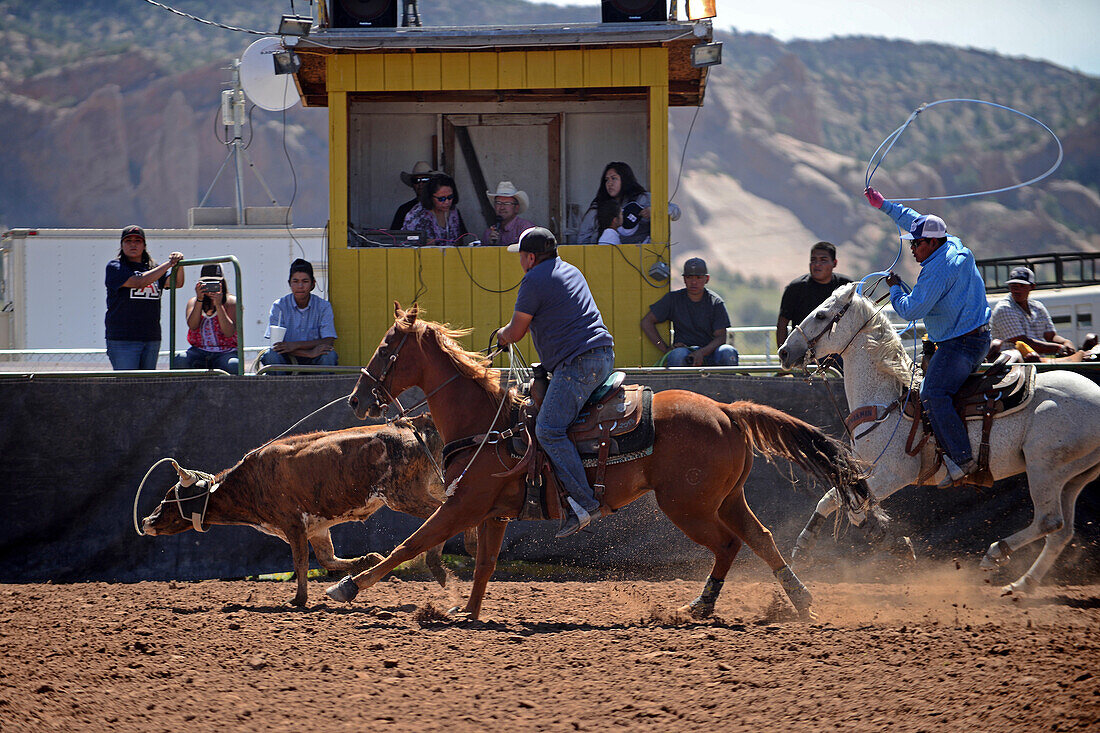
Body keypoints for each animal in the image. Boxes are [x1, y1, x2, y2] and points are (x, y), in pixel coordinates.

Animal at [325, 301, 866, 616]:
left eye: (386, 348)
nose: (356, 399)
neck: (487, 420)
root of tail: (728, 411)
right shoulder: (493, 513)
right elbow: (484, 564)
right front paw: (470, 614)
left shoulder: (463, 506)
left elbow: (408, 546)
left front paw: (347, 588)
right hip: (727, 498)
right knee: (761, 537)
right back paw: (796, 599)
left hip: (687, 506)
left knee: (729, 545)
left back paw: (702, 605)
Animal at [778, 280, 1100, 594]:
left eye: (821, 315)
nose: (783, 352)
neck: (888, 399)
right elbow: (840, 502)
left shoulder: (894, 474)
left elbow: (844, 503)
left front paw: (883, 541)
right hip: (1073, 475)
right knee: (1062, 532)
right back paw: (1022, 585)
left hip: (1044, 467)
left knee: (1048, 521)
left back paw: (995, 554)